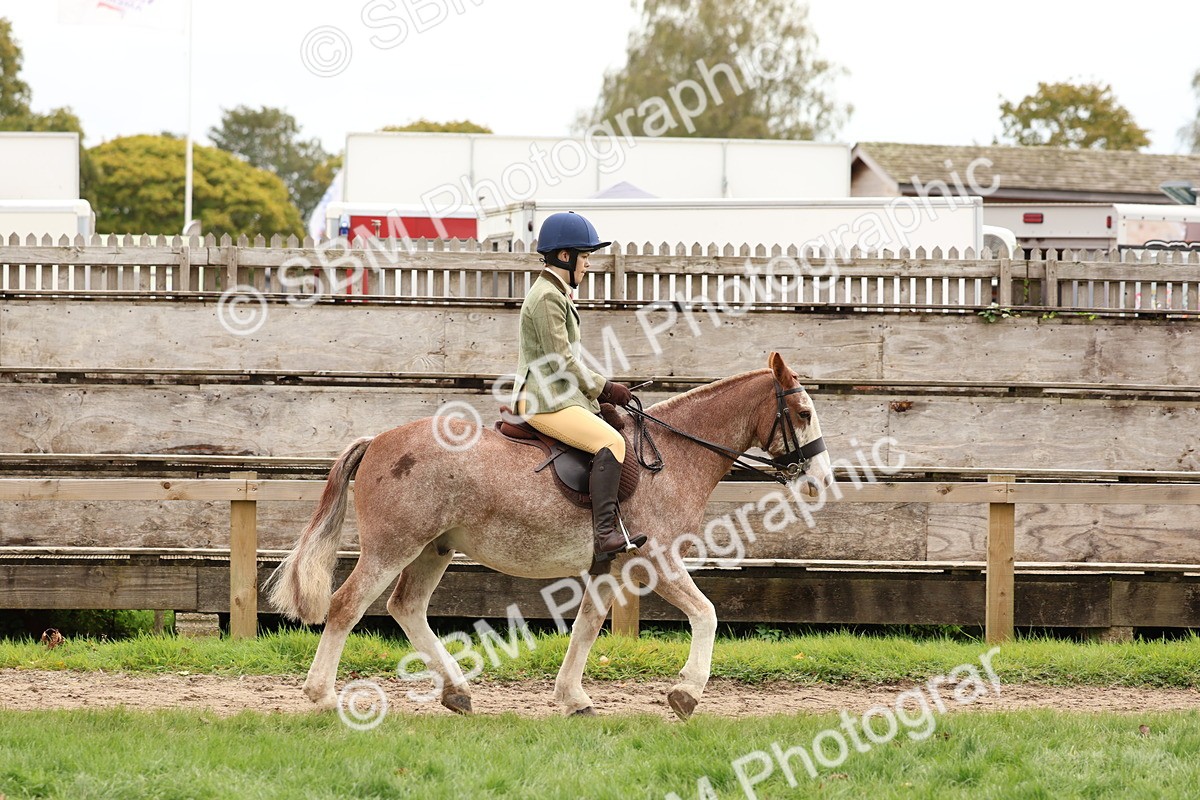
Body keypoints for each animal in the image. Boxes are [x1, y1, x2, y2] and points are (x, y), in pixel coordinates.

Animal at [266, 351, 833, 719]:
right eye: (804, 413)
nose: (821, 482)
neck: (671, 455)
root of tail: (378, 439)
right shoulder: (657, 560)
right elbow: (707, 614)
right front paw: (687, 694)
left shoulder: (612, 566)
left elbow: (586, 626)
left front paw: (573, 699)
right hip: (393, 548)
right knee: (346, 606)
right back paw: (321, 696)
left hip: (433, 549)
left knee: (406, 608)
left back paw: (457, 693)